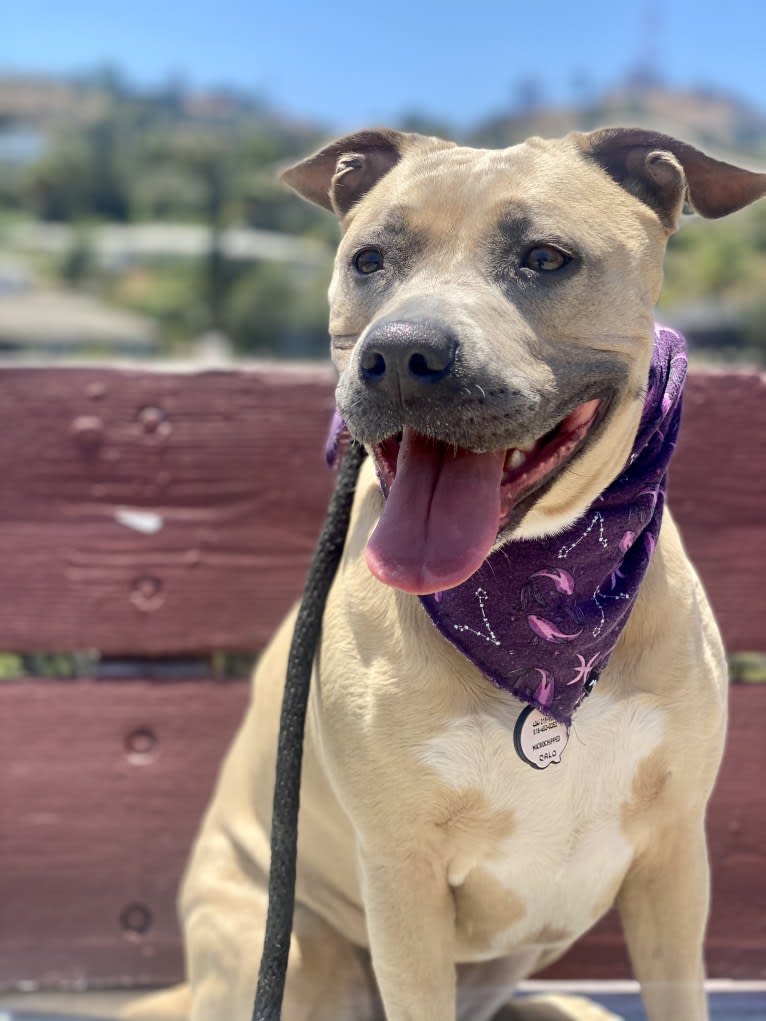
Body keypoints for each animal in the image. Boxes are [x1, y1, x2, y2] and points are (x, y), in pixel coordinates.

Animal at [130, 127, 766, 1021]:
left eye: (545, 257)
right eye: (368, 260)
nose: (401, 352)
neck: (544, 594)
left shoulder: (674, 857)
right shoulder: (402, 876)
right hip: (298, 951)